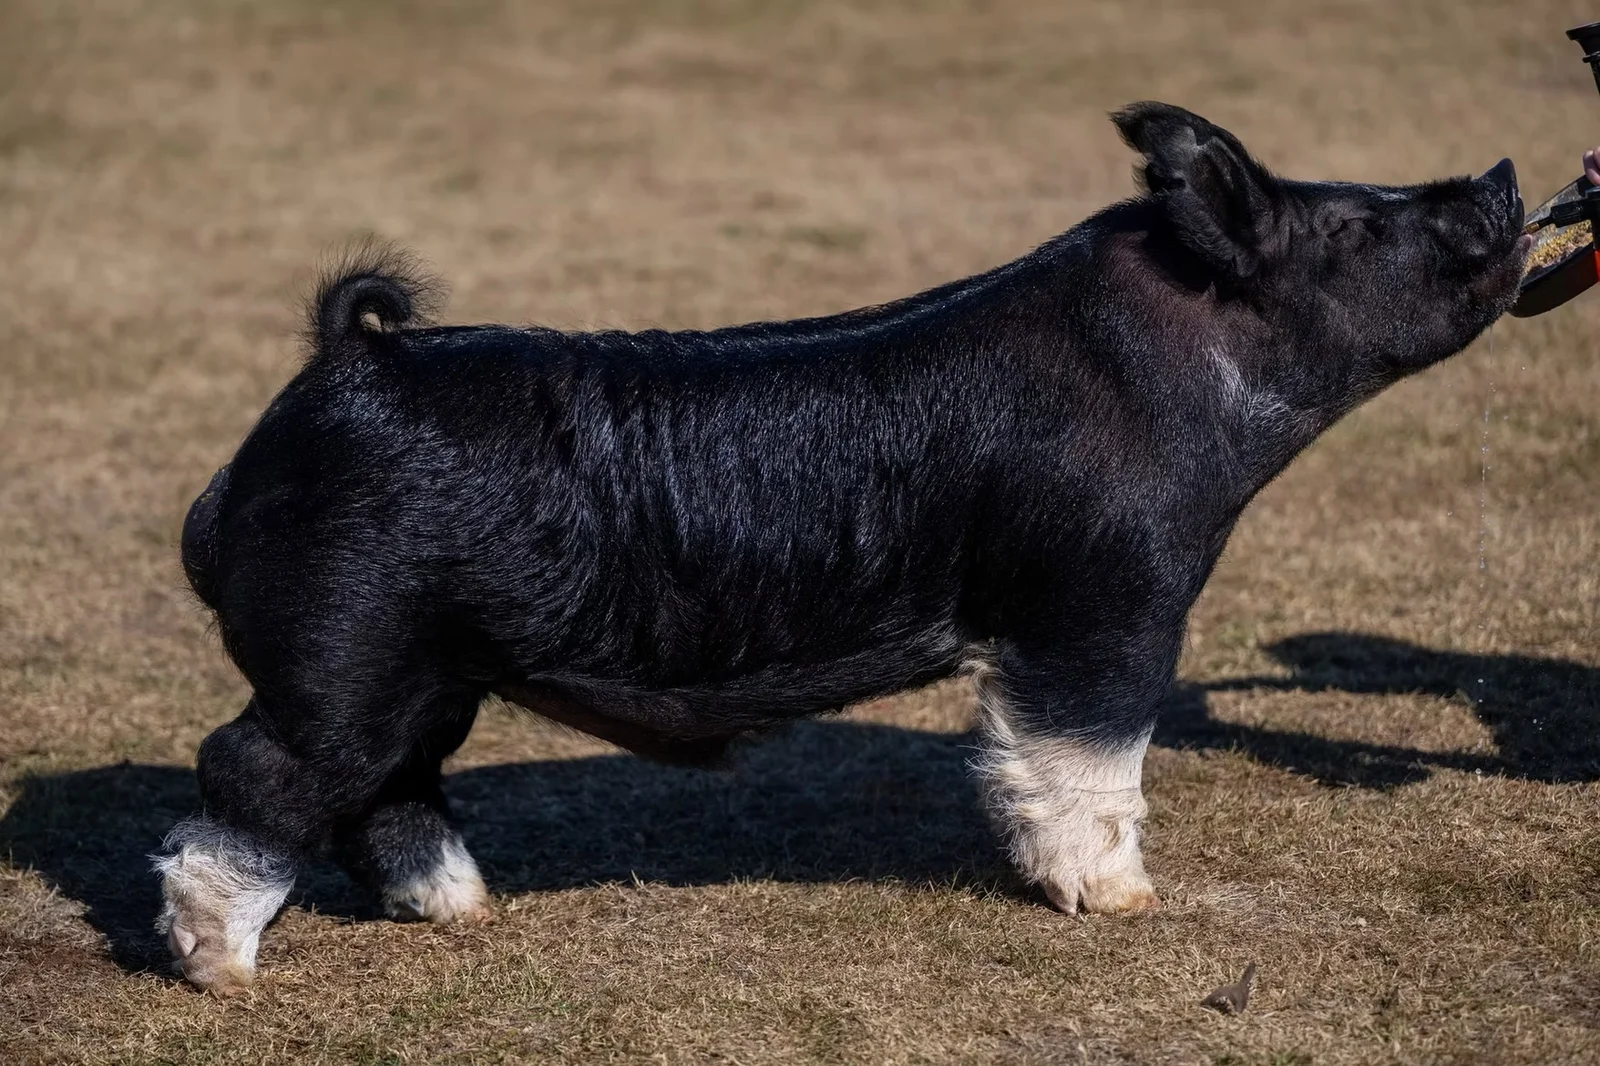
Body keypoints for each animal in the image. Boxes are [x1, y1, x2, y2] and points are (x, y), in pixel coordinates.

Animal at [157, 102, 1531, 994]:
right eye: (1351, 224)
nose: (1506, 172)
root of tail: (342, 371)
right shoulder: (1108, 593)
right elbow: (1086, 757)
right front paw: (1124, 905)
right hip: (343, 654)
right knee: (250, 772)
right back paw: (224, 973)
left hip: (426, 674)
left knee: (390, 789)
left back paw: (460, 910)